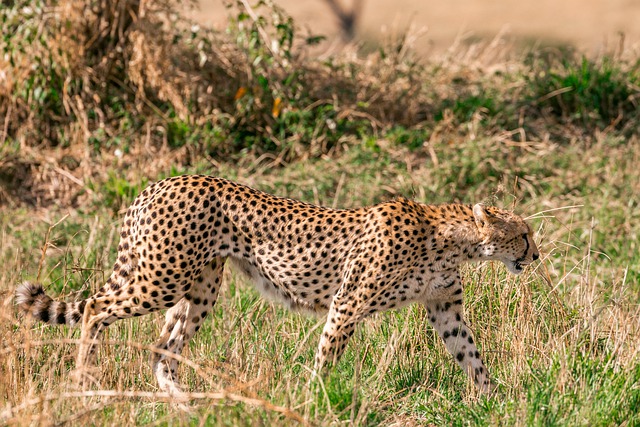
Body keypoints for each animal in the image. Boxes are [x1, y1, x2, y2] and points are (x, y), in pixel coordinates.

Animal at [13, 176, 536, 396]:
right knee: (96, 308)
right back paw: (84, 380)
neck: (449, 238)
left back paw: (181, 402)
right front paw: (311, 396)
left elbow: (472, 356)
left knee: (163, 347)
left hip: (200, 288)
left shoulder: (445, 310)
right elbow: (327, 355)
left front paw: (496, 402)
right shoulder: (348, 303)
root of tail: (161, 181)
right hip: (161, 277)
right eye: (523, 234)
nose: (535, 255)